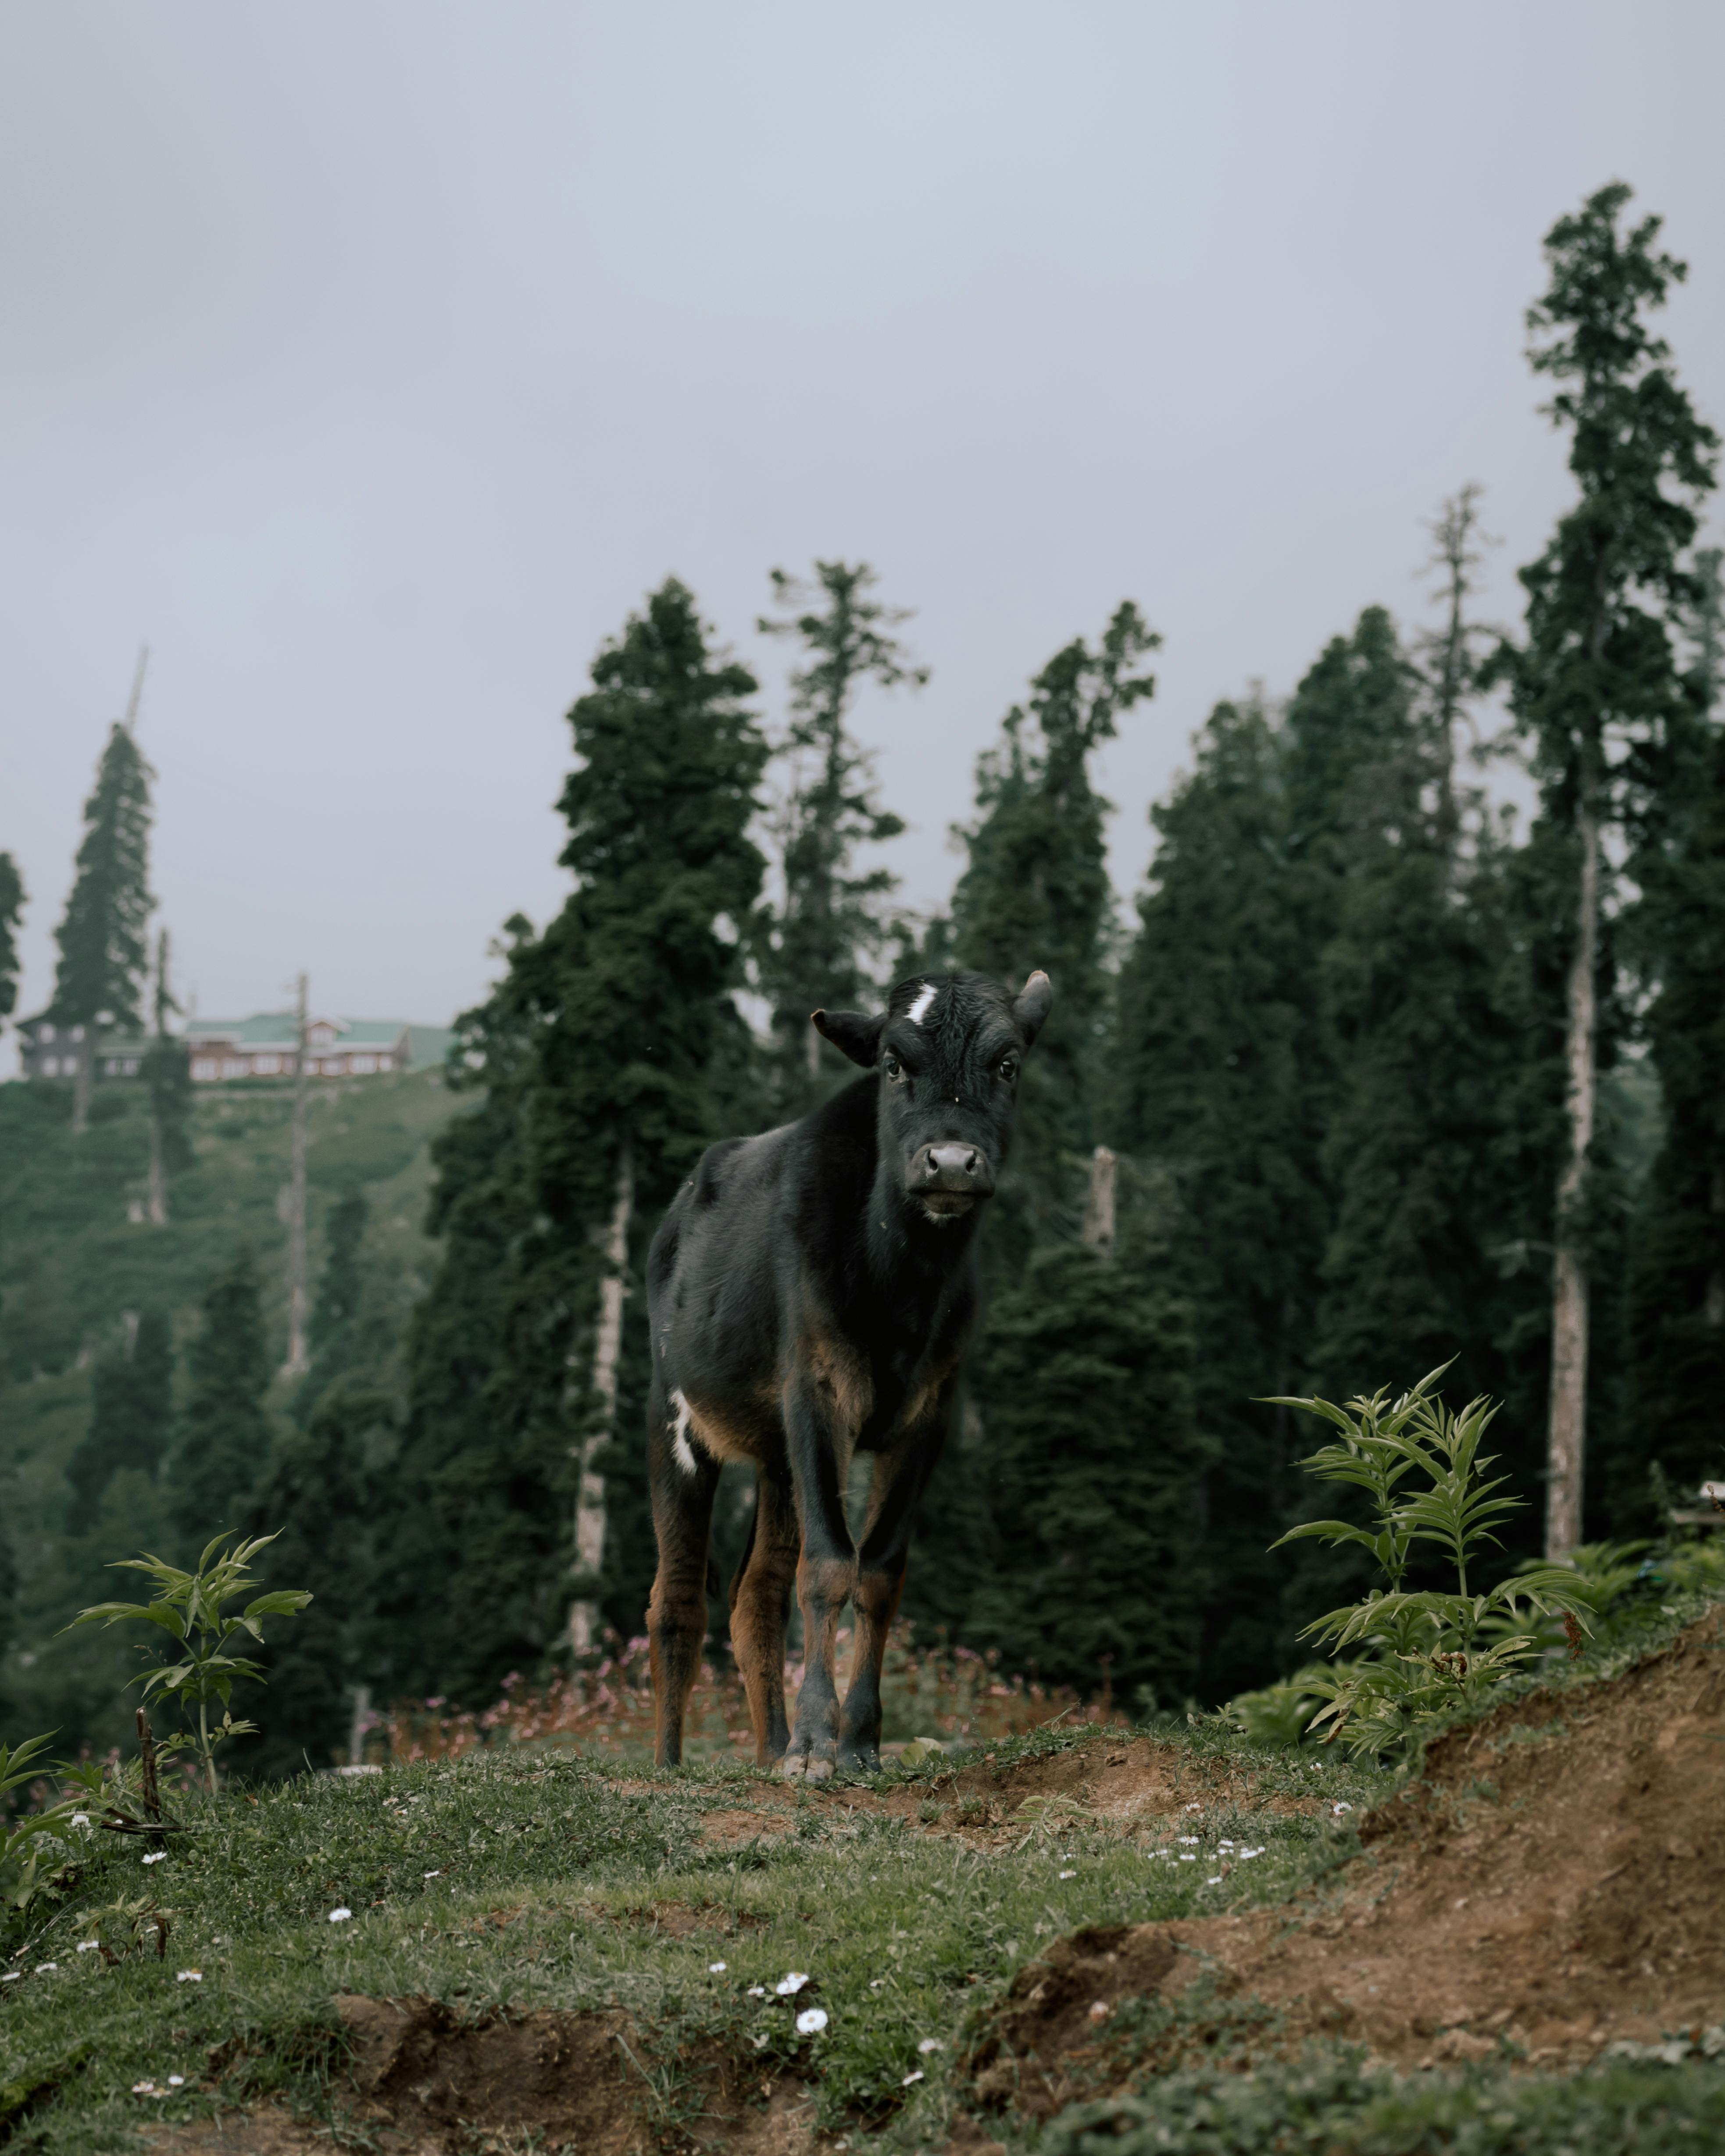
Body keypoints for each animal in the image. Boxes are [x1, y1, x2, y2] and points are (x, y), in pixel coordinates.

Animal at [643, 967, 1053, 1779]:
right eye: (893, 1065)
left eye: (1007, 1064)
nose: (950, 1163)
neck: (900, 1290)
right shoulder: (817, 1397)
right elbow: (829, 1566)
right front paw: (813, 1744)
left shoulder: (928, 1414)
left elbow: (879, 1572)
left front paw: (858, 1739)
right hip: (673, 1419)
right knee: (677, 1603)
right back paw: (672, 1763)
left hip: (775, 1460)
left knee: (756, 1595)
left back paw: (768, 1749)